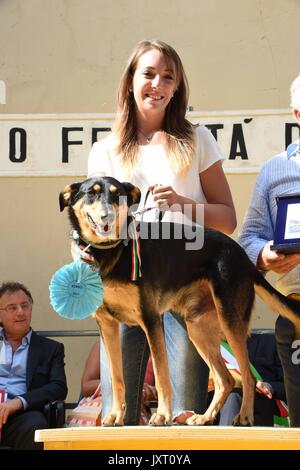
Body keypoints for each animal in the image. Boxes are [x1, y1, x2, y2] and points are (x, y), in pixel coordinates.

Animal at [59, 176, 300, 426]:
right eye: (91, 193)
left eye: (118, 195)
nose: (107, 216)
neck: (112, 251)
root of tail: (243, 256)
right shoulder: (108, 325)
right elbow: (117, 378)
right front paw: (116, 415)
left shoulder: (151, 320)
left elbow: (161, 374)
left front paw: (162, 415)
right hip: (198, 328)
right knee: (226, 380)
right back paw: (204, 417)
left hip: (230, 322)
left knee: (248, 378)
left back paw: (243, 416)